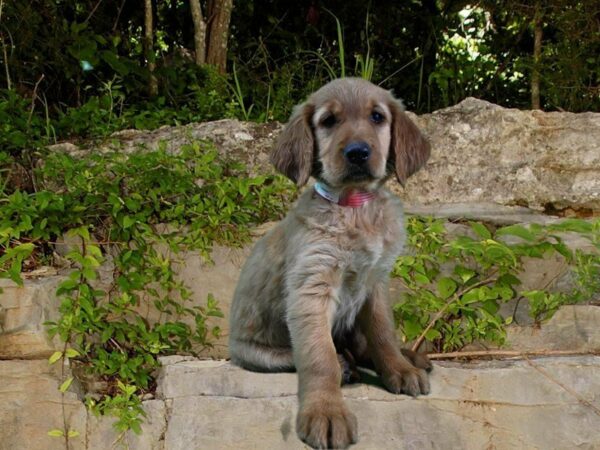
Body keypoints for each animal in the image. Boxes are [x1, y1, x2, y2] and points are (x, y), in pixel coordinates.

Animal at [229, 79, 432, 448]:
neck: (354, 206)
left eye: (377, 117)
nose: (357, 152)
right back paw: (346, 365)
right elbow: (319, 357)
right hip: (253, 351)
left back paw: (408, 358)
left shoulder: (375, 283)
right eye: (328, 121)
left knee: (362, 345)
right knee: (299, 357)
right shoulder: (312, 286)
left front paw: (398, 368)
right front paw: (326, 410)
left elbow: (383, 333)